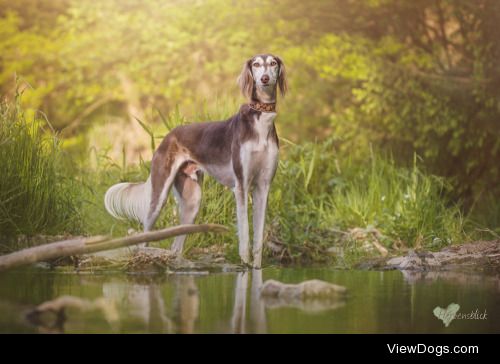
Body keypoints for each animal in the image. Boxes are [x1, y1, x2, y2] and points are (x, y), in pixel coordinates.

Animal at [103, 54, 288, 268]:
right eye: (256, 64)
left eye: (273, 63)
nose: (265, 79)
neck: (260, 122)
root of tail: (168, 136)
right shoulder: (241, 186)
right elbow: (244, 236)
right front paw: (244, 265)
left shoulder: (263, 187)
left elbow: (258, 239)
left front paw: (255, 268)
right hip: (158, 197)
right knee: (144, 238)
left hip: (192, 202)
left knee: (175, 247)